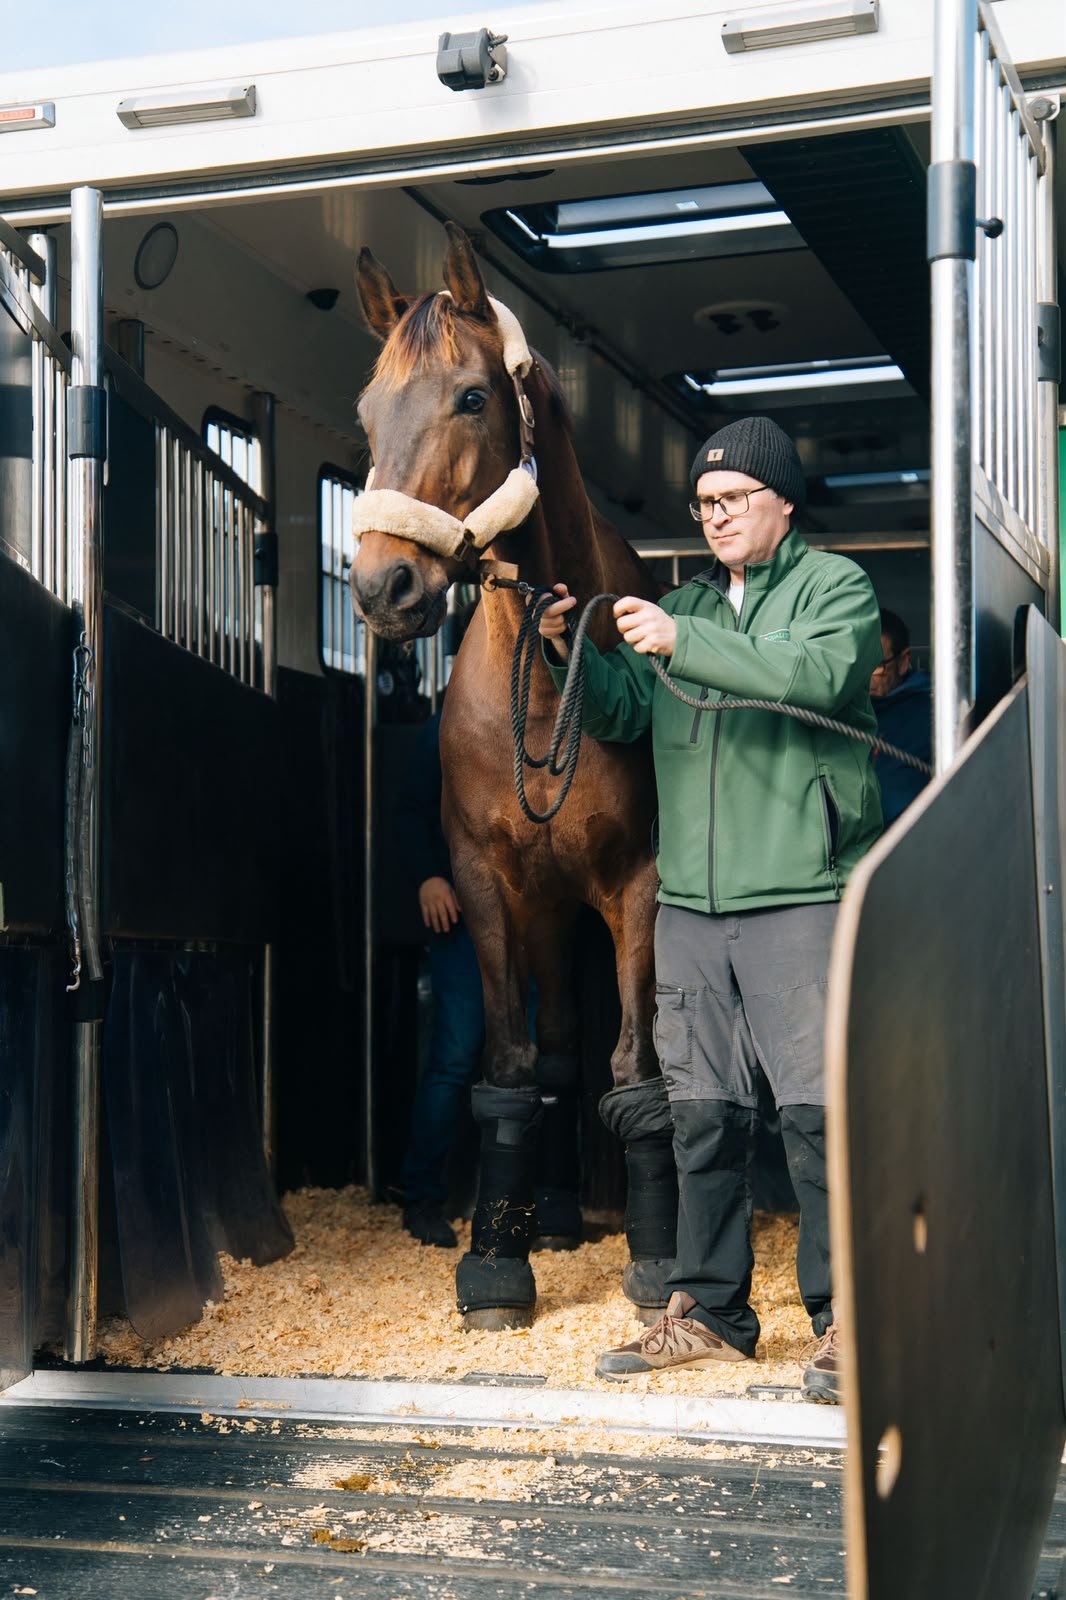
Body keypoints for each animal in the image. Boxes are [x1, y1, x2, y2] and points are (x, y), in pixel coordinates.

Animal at [349, 224, 678, 1329]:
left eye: (470, 398)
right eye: (366, 411)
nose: (381, 586)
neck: (544, 675)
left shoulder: (635, 885)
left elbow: (635, 1066)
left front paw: (657, 1258)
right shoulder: (490, 886)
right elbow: (507, 1065)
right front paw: (496, 1259)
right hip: (544, 910)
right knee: (554, 1051)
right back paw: (548, 1216)